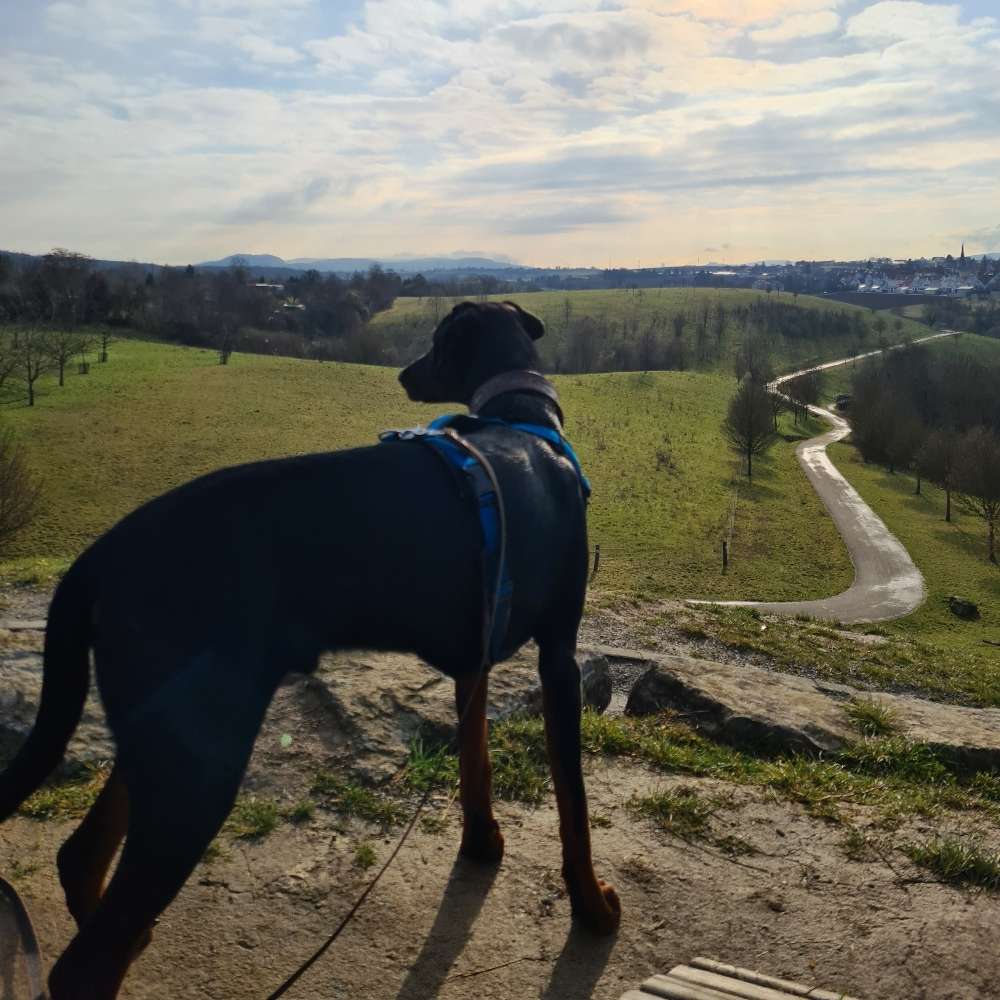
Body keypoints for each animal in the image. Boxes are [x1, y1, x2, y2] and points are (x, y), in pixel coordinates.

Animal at [0, 302, 620, 1000]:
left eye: (436, 343)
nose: (406, 373)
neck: (522, 420)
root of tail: (101, 555)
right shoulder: (559, 658)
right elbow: (574, 805)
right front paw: (592, 908)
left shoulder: (477, 652)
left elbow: (475, 758)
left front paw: (482, 839)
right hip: (201, 762)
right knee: (88, 956)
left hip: (168, 730)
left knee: (82, 858)